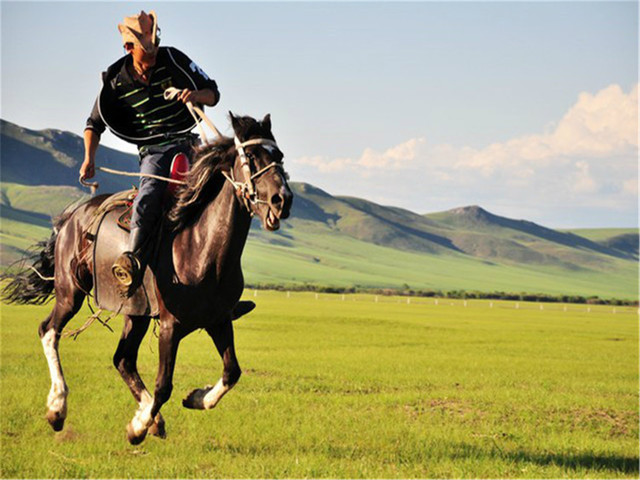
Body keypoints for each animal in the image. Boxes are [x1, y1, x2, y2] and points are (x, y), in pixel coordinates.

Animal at [1, 114, 292, 444]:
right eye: (252, 157)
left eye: (280, 157)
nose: (282, 200)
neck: (201, 245)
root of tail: (71, 218)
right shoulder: (170, 326)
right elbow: (164, 385)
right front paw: (137, 428)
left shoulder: (218, 320)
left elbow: (232, 371)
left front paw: (195, 398)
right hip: (70, 291)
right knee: (49, 330)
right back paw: (57, 407)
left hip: (136, 311)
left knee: (123, 359)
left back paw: (150, 418)